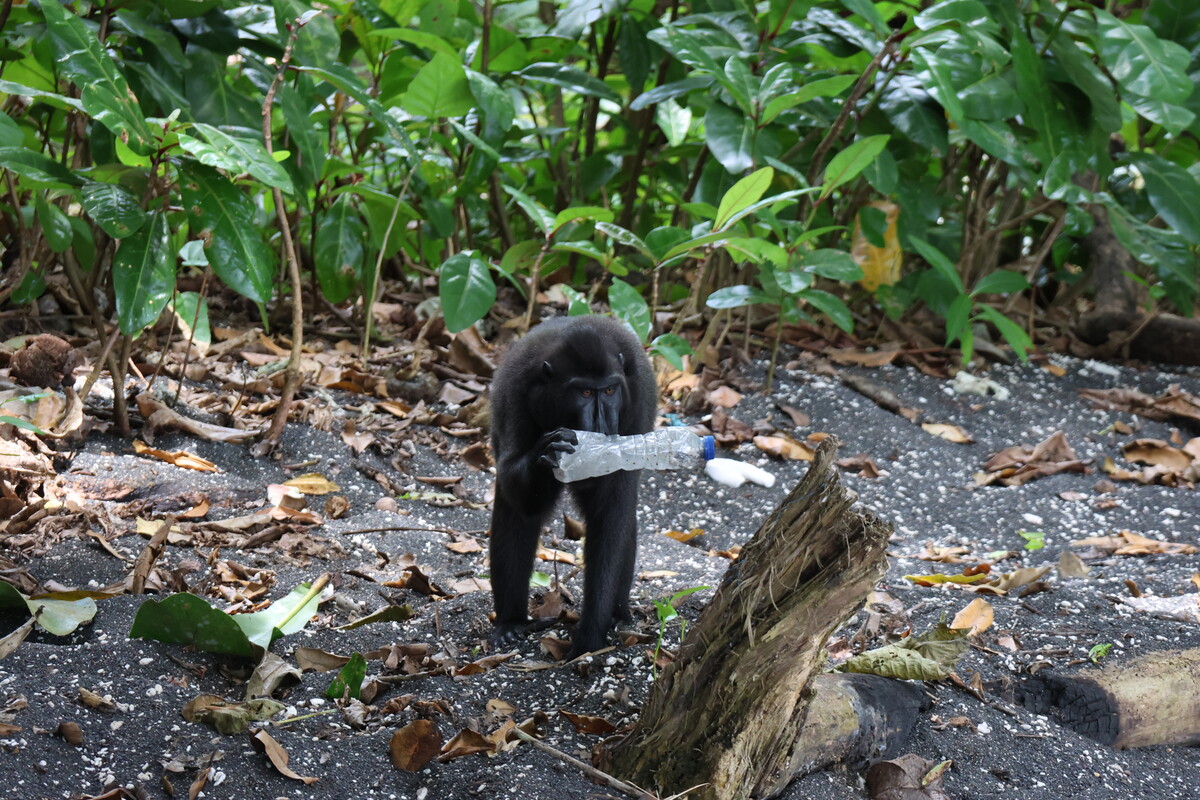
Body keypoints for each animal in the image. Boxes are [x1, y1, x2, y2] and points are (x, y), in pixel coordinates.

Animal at [487, 315, 656, 659]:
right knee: (514, 516)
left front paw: (590, 635)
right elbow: (517, 494)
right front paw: (546, 451)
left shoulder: (639, 400)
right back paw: (510, 622)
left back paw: (617, 613)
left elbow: (612, 515)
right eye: (585, 393)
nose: (601, 424)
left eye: (609, 390)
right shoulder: (513, 395)